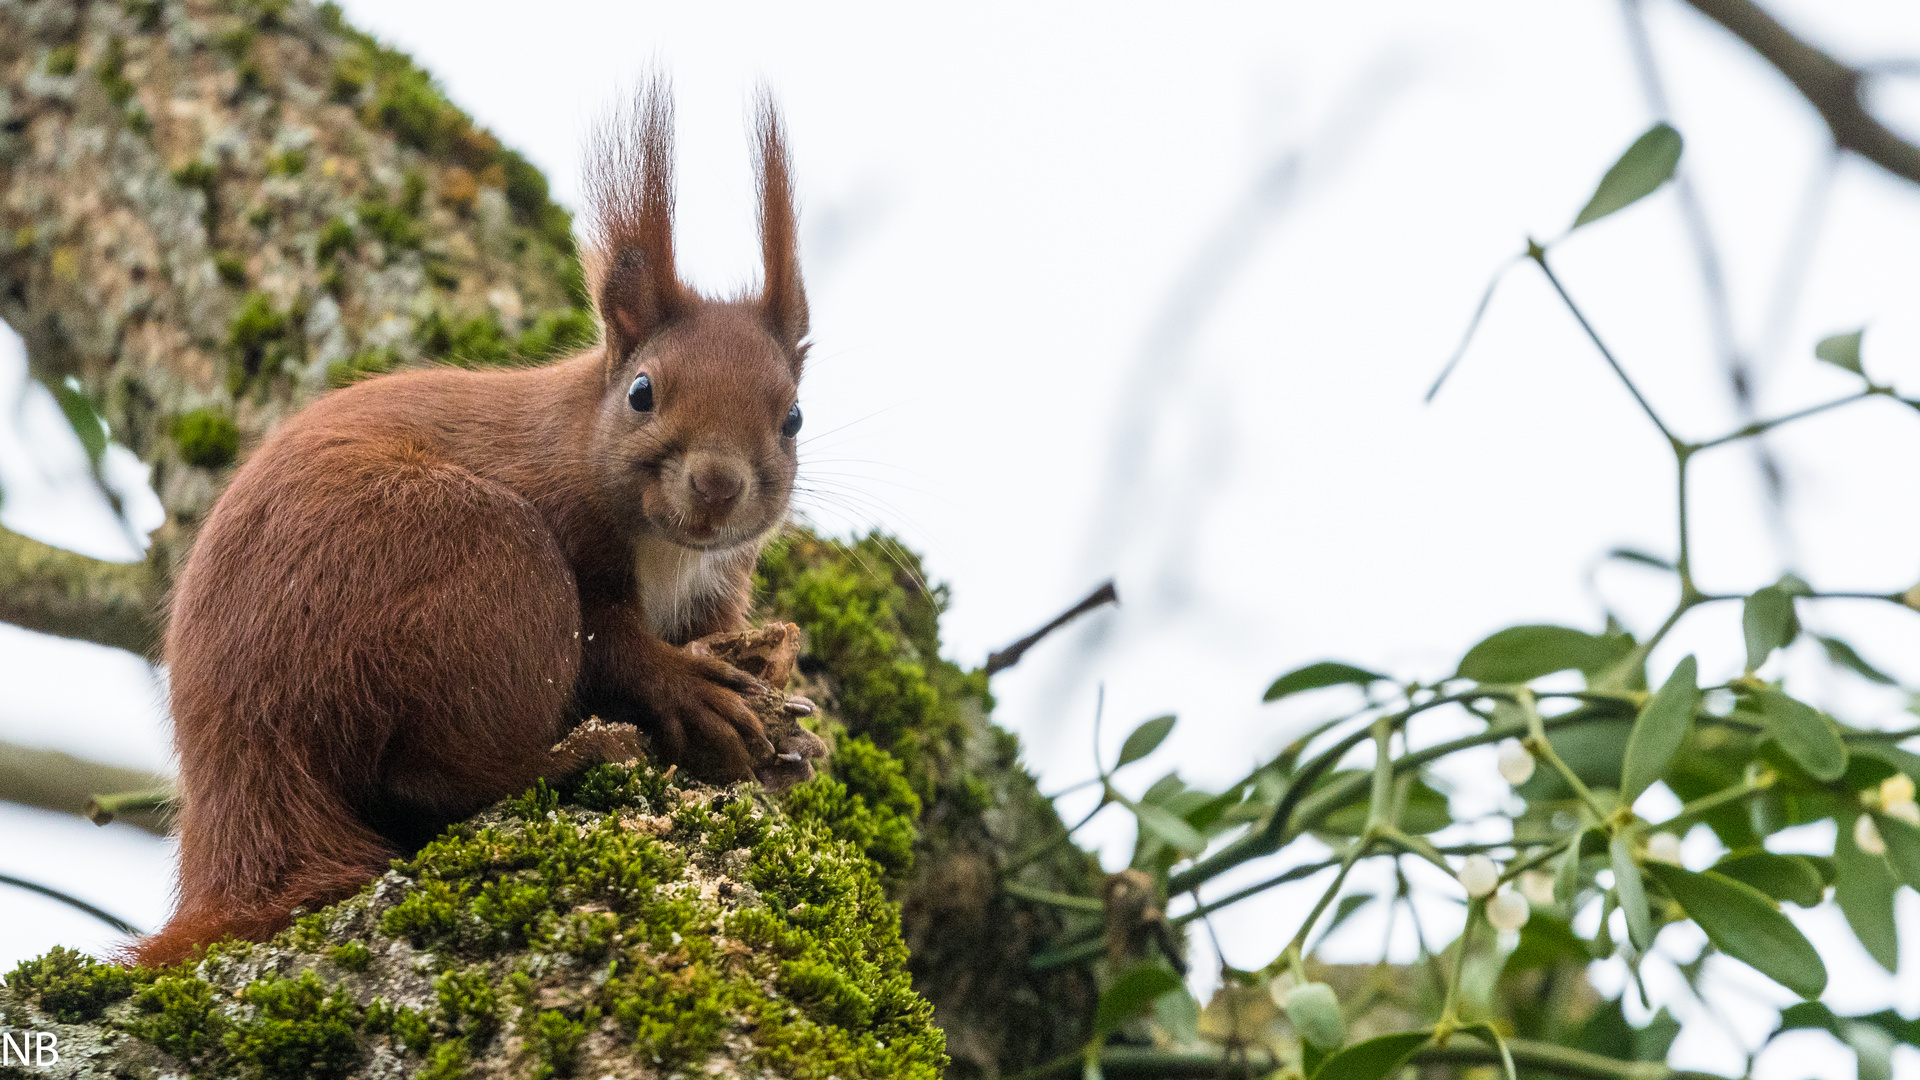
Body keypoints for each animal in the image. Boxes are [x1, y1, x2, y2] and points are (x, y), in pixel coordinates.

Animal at [131, 82, 821, 957]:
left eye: (793, 418)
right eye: (642, 392)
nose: (718, 484)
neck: (666, 548)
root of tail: (242, 761)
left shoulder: (718, 584)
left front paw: (792, 740)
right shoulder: (564, 523)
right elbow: (611, 645)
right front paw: (691, 691)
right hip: (482, 563)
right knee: (433, 778)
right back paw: (571, 757)